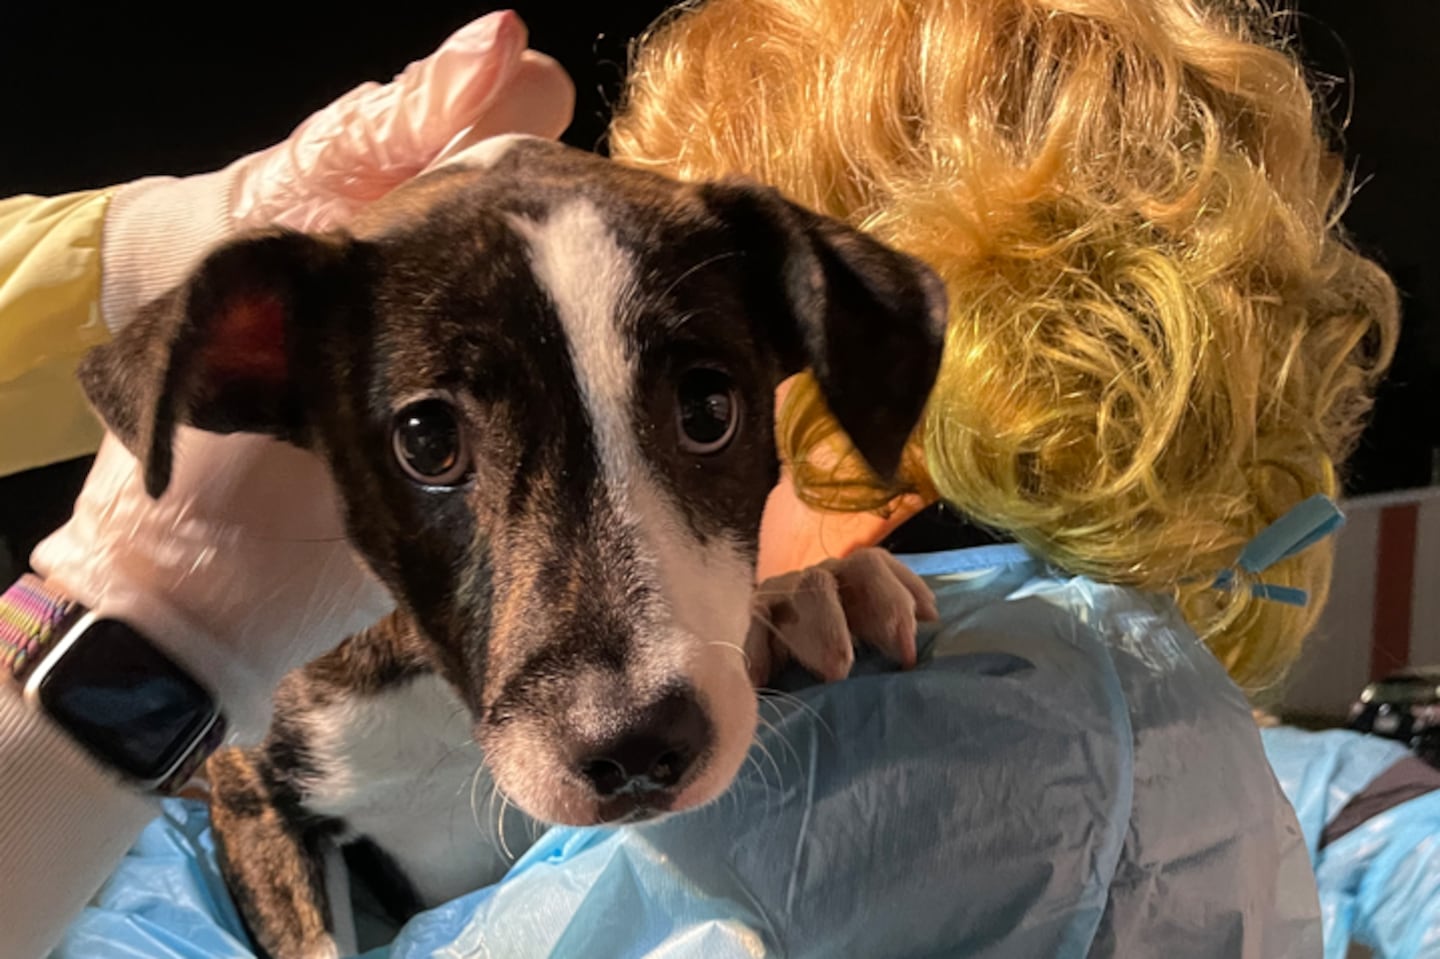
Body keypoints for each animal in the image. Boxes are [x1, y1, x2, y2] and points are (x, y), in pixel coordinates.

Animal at [78, 136, 944, 956]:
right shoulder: (255, 801)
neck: (443, 697)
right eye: (427, 442)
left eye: (708, 409)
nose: (636, 746)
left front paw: (817, 587)